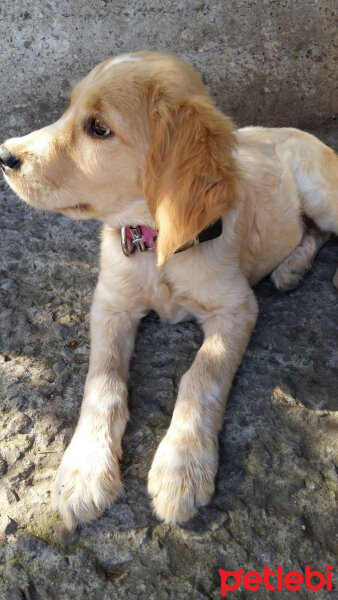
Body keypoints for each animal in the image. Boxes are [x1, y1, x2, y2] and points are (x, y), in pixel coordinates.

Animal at [1, 51, 336, 528]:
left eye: (98, 128)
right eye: (68, 108)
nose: (5, 154)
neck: (156, 242)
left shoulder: (236, 308)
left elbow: (201, 376)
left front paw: (182, 465)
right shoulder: (111, 304)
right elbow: (102, 379)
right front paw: (85, 468)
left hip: (321, 194)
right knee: (311, 232)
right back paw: (293, 265)